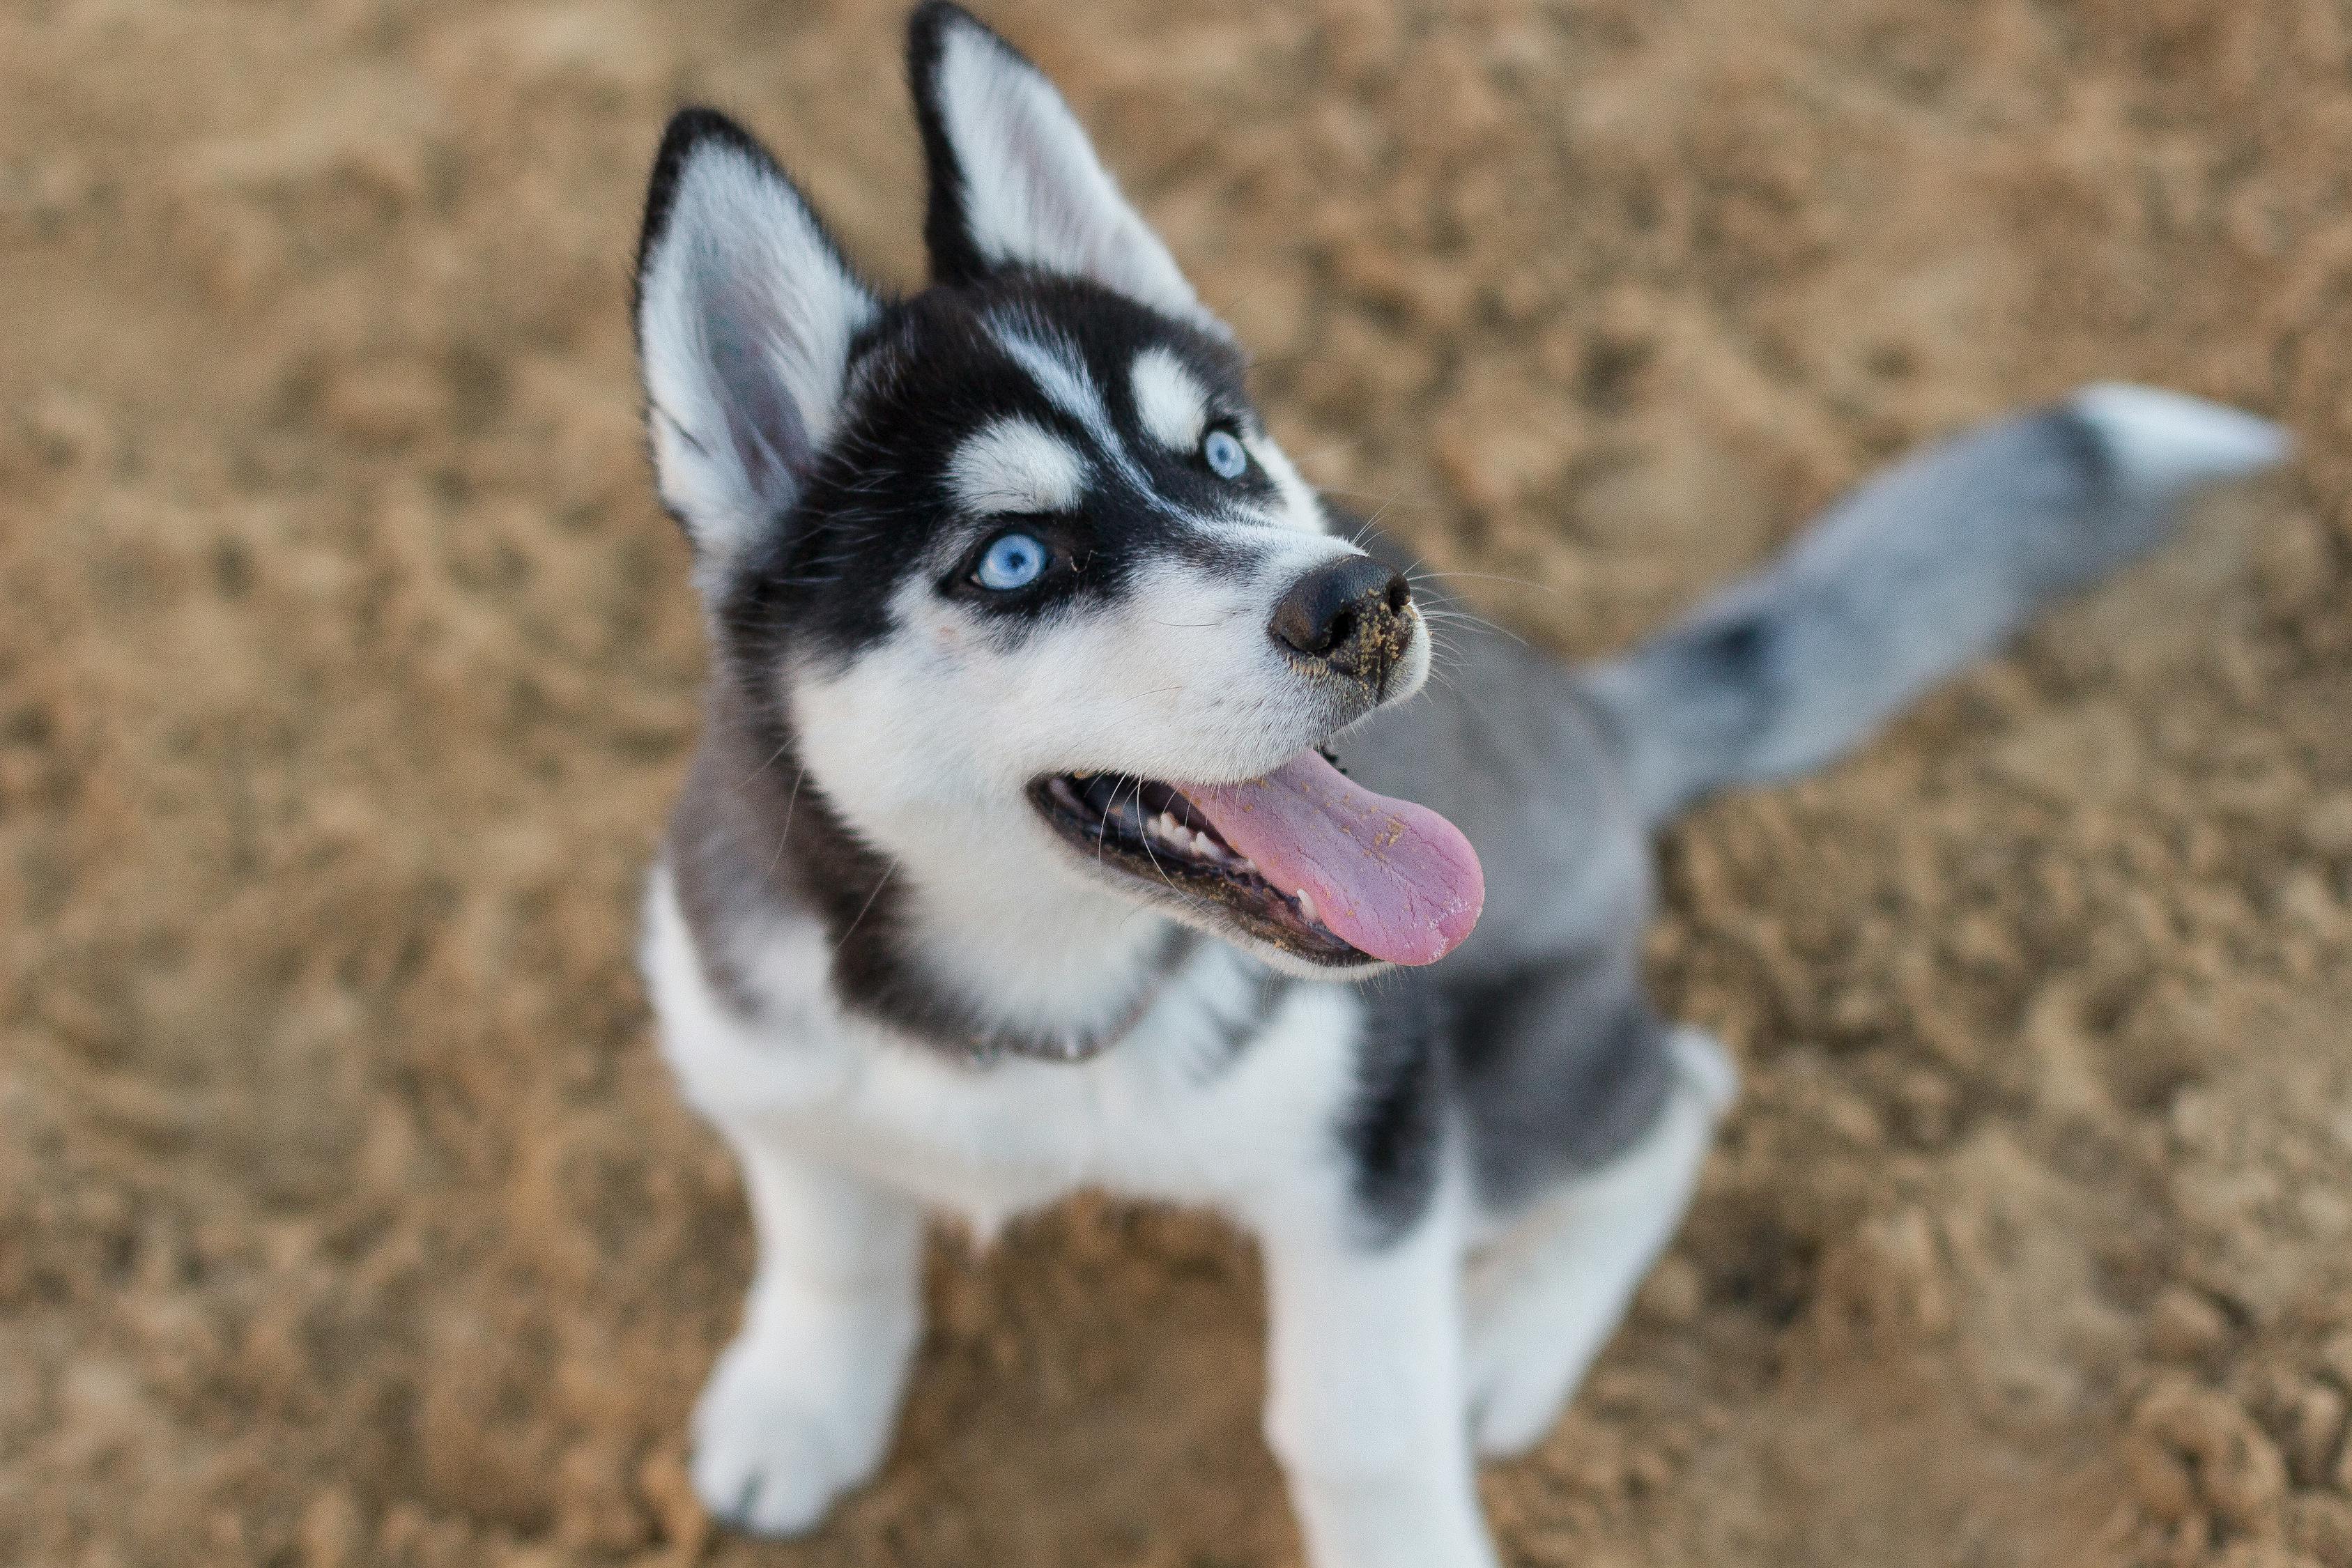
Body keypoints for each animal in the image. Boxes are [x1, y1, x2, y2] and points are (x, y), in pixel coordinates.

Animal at [635, 6, 2286, 1560]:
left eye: (1222, 453)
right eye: (1015, 560)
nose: (1365, 599)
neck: (1030, 1000)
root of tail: (1594, 722)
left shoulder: (1371, 1148)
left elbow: (1357, 1426)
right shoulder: (755, 1051)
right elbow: (829, 1230)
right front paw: (801, 1398)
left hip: (1496, 1095)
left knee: (1683, 1088)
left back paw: (1503, 1334)